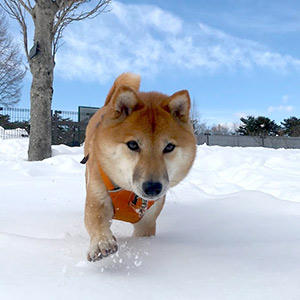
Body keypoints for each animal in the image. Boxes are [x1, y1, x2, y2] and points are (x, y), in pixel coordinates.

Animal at [82, 72, 196, 260]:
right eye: (133, 145)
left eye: (169, 147)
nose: (152, 187)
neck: (128, 193)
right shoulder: (97, 196)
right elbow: (96, 220)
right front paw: (102, 242)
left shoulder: (147, 221)